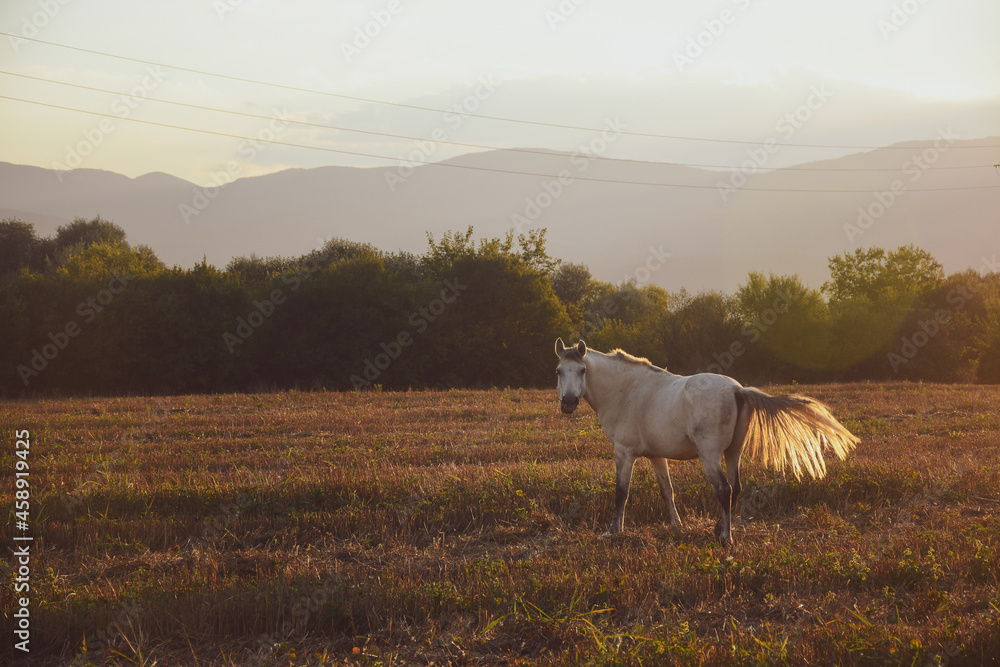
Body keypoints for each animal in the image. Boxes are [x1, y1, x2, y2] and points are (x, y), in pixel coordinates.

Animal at [554, 338, 859, 545]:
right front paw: (676, 525)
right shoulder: (656, 456)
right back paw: (719, 529)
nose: (567, 403)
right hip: (733, 453)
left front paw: (614, 530)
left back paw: (725, 537)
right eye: (559, 371)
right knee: (736, 488)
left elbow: (621, 492)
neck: (626, 390)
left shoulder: (624, 453)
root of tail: (737, 390)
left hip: (710, 456)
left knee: (724, 489)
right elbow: (667, 491)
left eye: (582, 370)